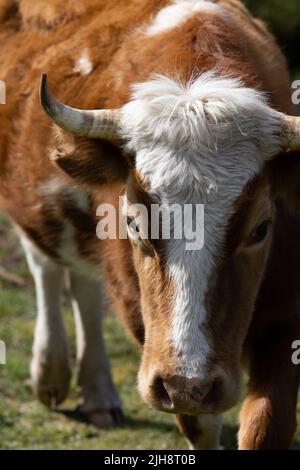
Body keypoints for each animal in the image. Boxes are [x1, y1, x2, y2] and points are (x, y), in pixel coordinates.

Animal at [0, 0, 300, 448]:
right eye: (134, 224)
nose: (189, 382)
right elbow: (199, 424)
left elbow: (265, 427)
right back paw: (52, 372)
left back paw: (98, 392)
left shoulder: (287, 318)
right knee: (47, 266)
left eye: (261, 229)